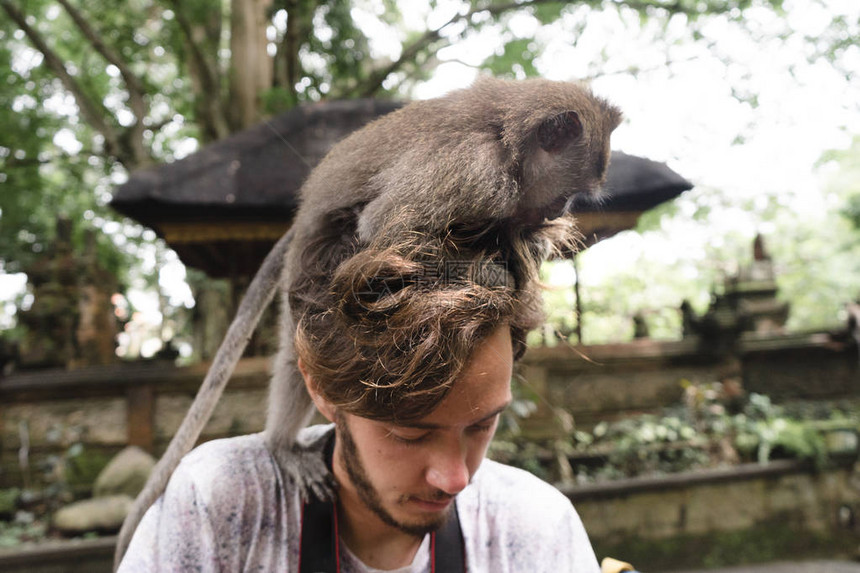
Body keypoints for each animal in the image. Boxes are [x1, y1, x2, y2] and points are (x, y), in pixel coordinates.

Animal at [117, 76, 620, 568]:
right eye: (564, 193)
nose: (558, 212)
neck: (508, 145)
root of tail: (301, 218)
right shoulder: (473, 175)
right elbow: (383, 227)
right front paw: (487, 271)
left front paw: (523, 247)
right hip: (310, 256)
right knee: (298, 349)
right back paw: (281, 446)